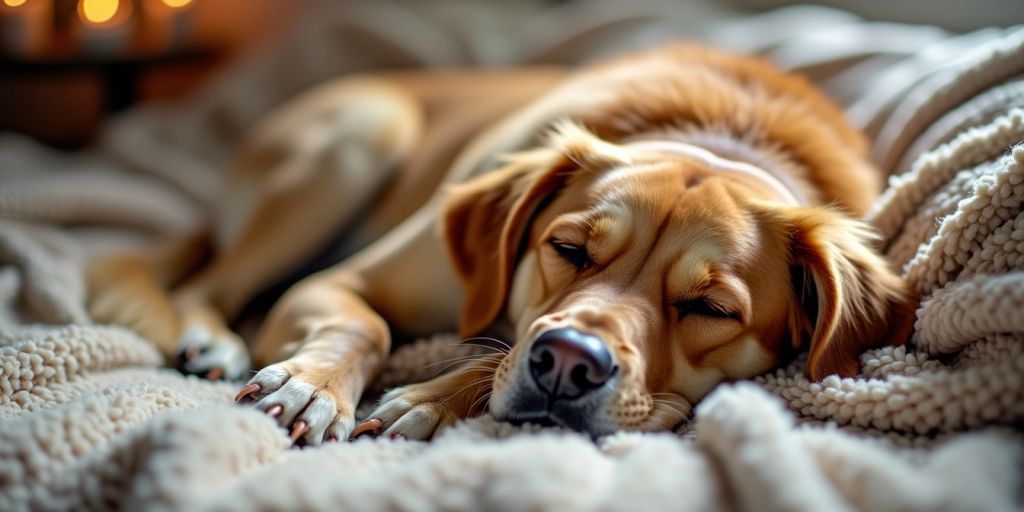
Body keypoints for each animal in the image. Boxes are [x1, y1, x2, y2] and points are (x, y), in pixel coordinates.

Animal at [90, 45, 913, 444]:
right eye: (569, 249)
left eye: (710, 307)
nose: (570, 364)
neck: (722, 136)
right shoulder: (341, 283)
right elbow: (369, 326)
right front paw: (313, 387)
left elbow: (491, 356)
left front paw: (429, 400)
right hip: (357, 137)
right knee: (210, 286)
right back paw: (216, 339)